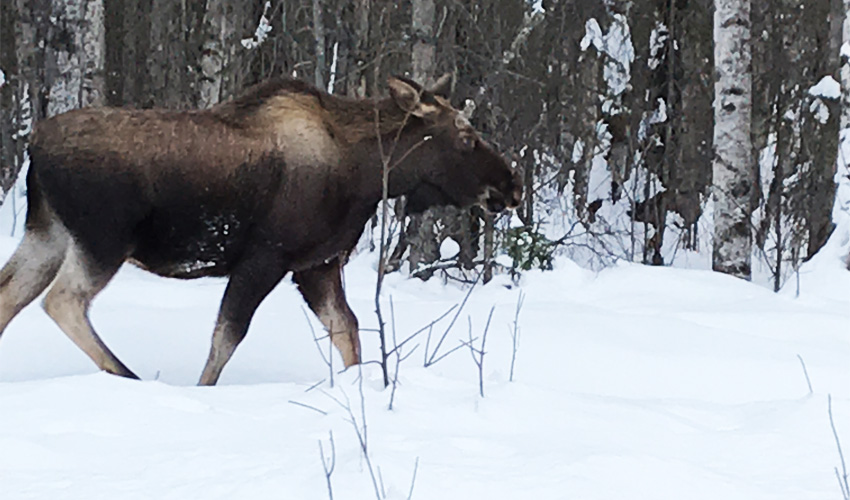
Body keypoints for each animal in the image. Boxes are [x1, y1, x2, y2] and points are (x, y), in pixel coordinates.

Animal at [0, 74, 520, 384]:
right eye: (466, 137)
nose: (512, 186)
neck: (366, 172)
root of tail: (34, 144)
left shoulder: (316, 265)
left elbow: (348, 330)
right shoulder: (267, 258)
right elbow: (226, 337)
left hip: (47, 234)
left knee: (10, 295)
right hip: (103, 239)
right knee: (62, 301)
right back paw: (125, 374)